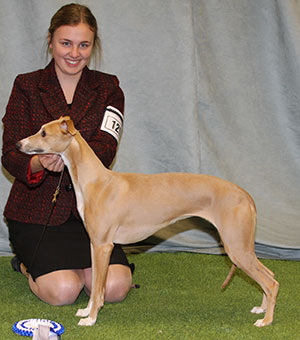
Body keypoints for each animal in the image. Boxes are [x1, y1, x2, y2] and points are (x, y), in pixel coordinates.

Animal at [15, 116, 278, 326]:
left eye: (43, 132)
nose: (18, 144)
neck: (95, 181)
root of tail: (245, 195)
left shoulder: (103, 247)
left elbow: (99, 289)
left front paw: (91, 320)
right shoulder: (94, 245)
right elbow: (95, 286)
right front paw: (86, 312)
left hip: (237, 248)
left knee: (271, 282)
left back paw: (266, 321)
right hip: (242, 247)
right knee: (270, 275)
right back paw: (261, 309)